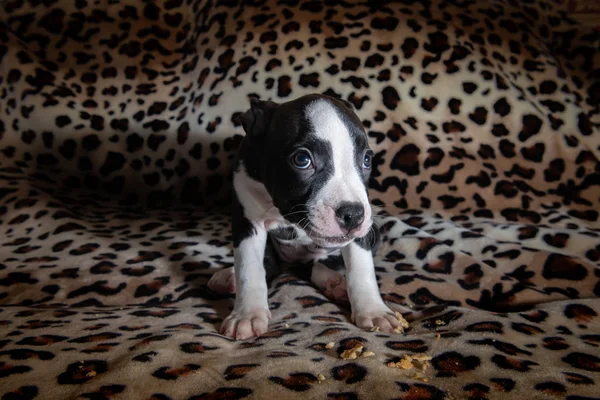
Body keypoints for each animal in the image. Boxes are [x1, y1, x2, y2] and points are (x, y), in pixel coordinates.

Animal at [209, 94, 406, 340]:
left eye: (367, 160)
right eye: (302, 159)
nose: (353, 215)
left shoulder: (363, 227)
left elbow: (362, 269)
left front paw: (374, 310)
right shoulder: (246, 221)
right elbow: (249, 268)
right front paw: (247, 314)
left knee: (320, 263)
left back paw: (335, 282)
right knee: (272, 264)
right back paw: (230, 277)